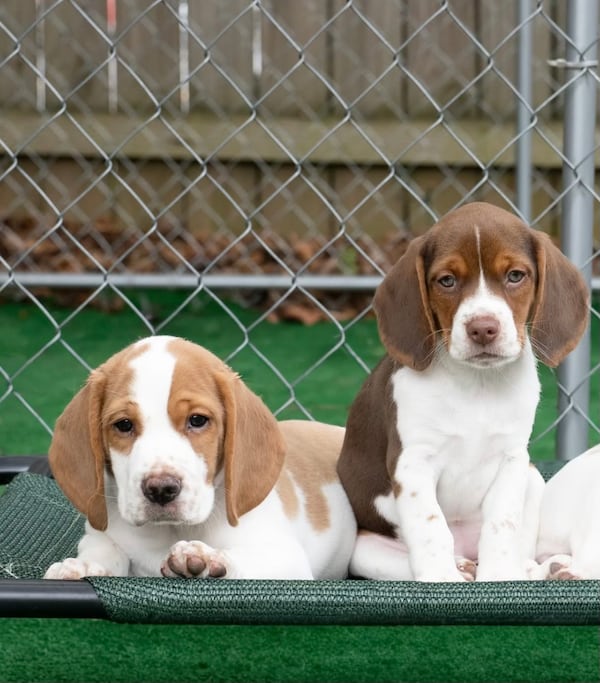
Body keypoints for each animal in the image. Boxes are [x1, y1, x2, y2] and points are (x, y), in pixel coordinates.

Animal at [47, 334, 358, 580]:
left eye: (197, 420)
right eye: (123, 425)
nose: (161, 489)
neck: (171, 531)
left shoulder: (285, 559)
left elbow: (244, 561)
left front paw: (206, 558)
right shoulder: (99, 534)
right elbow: (105, 551)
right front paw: (83, 566)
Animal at [338, 202, 592, 584]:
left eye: (515, 275)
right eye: (447, 280)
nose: (483, 328)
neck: (477, 384)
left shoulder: (512, 459)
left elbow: (501, 525)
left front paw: (500, 576)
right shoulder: (412, 461)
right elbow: (431, 527)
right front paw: (441, 577)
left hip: (533, 477)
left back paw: (541, 568)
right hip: (363, 549)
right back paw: (461, 567)